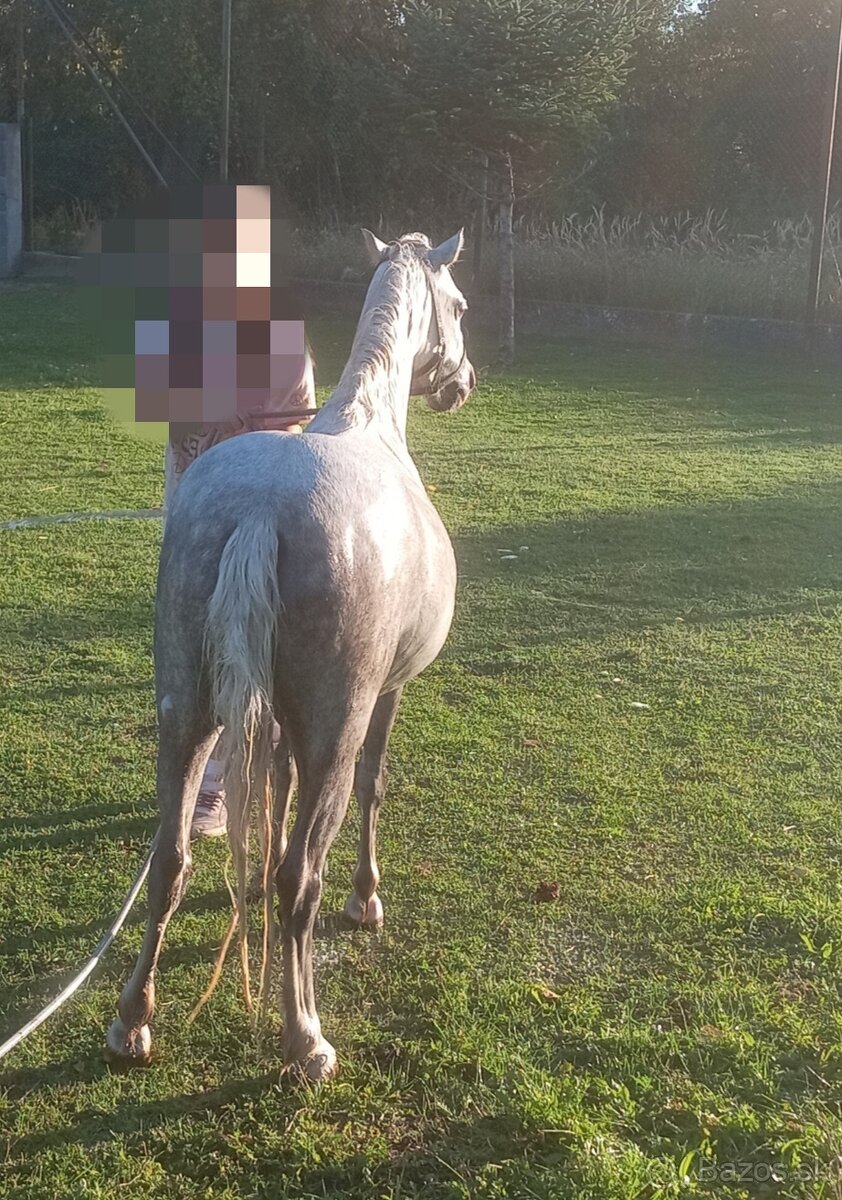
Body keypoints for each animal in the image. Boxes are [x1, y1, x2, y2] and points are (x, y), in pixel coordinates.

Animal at [106, 229, 475, 1081]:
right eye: (461, 305)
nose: (464, 381)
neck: (371, 424)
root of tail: (261, 511)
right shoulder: (385, 697)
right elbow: (371, 789)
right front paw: (366, 899)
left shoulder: (265, 714)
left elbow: (266, 794)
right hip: (331, 732)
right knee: (299, 876)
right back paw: (304, 1036)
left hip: (185, 717)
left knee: (170, 859)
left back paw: (133, 1019)